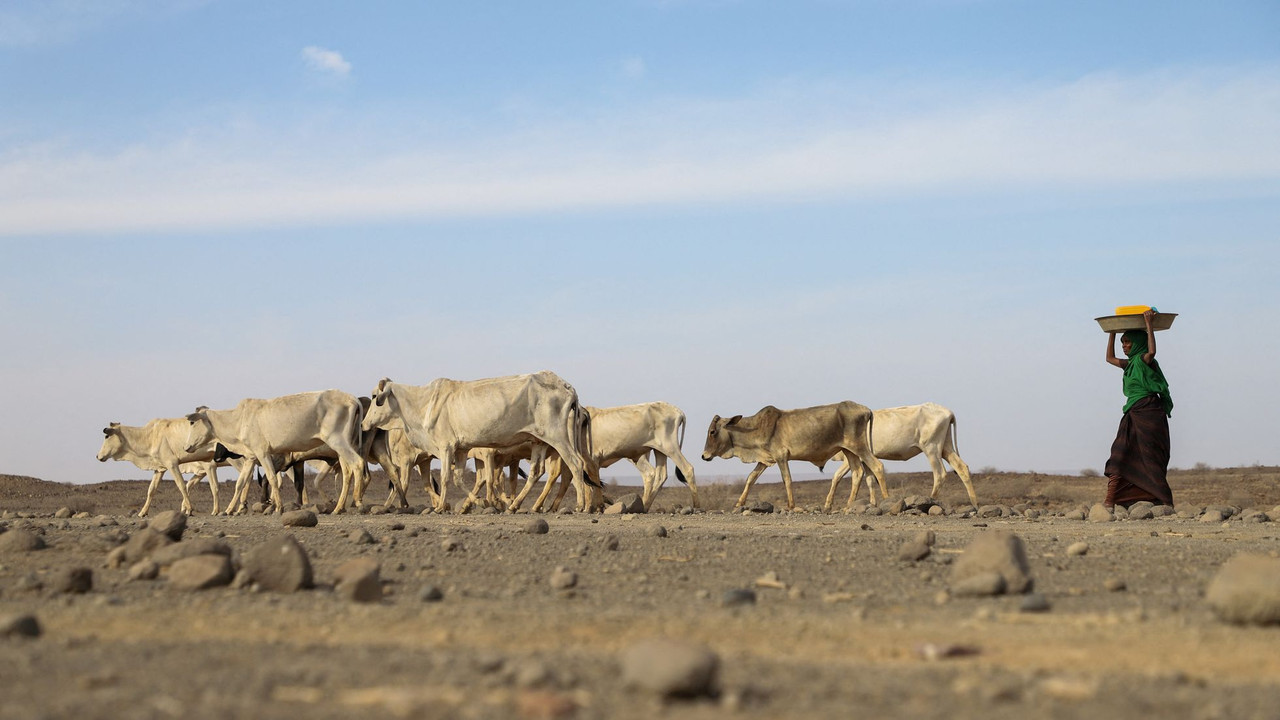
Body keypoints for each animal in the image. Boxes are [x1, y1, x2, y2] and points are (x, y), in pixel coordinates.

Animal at [183, 389, 371, 512]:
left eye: (192, 422)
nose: (186, 447)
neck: (239, 419)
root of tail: (352, 399)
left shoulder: (264, 453)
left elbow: (272, 479)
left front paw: (278, 507)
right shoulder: (251, 458)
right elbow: (240, 483)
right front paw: (229, 510)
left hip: (338, 441)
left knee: (357, 463)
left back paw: (357, 501)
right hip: (343, 446)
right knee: (347, 471)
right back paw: (339, 507)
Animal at [360, 371, 599, 512]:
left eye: (374, 397)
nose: (363, 424)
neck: (423, 402)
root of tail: (566, 385)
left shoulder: (446, 447)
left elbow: (446, 478)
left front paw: (441, 506)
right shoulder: (461, 450)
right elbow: (459, 479)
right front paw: (480, 502)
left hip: (558, 437)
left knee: (576, 465)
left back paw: (580, 505)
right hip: (539, 441)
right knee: (536, 472)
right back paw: (516, 505)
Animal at [701, 397, 890, 509]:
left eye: (712, 431)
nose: (704, 456)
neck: (756, 428)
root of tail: (866, 409)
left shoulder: (781, 456)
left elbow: (787, 479)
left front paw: (791, 505)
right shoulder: (765, 459)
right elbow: (751, 478)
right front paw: (739, 503)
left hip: (859, 447)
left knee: (877, 466)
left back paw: (886, 499)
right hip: (848, 450)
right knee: (858, 472)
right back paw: (849, 505)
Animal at [824, 397, 972, 509]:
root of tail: (948, 412)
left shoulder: (854, 457)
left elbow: (837, 476)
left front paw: (828, 505)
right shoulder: (866, 459)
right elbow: (870, 480)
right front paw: (872, 503)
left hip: (931, 448)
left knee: (939, 474)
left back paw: (930, 501)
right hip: (946, 447)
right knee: (961, 467)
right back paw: (974, 503)